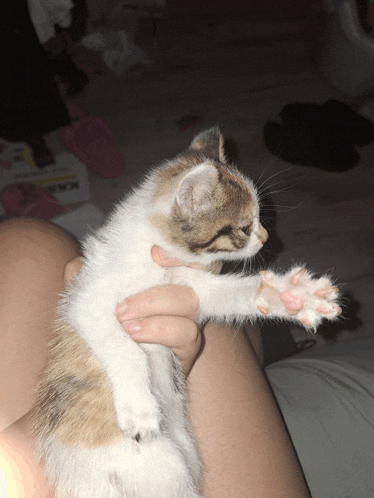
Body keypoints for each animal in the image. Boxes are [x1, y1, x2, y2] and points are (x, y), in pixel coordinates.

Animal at [32, 128, 342, 498]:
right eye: (245, 227)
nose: (267, 239)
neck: (154, 252)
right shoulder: (87, 300)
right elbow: (126, 349)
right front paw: (140, 408)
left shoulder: (191, 289)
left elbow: (239, 292)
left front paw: (296, 296)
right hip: (160, 466)